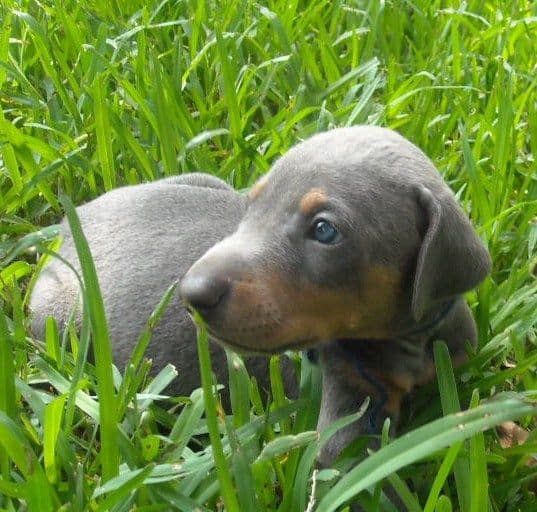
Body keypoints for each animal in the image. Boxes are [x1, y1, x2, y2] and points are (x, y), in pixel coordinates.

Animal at [29, 125, 490, 464]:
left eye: (325, 230)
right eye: (250, 206)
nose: (189, 293)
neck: (409, 341)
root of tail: (66, 227)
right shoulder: (347, 414)